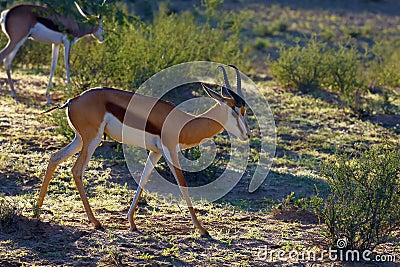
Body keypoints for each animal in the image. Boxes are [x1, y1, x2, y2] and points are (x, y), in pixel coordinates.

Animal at [38, 65, 250, 237]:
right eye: (235, 110)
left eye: (244, 110)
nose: (247, 134)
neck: (185, 123)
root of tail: (73, 100)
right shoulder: (170, 151)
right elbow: (183, 185)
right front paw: (202, 229)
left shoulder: (156, 153)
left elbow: (143, 179)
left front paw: (131, 223)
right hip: (92, 140)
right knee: (77, 170)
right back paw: (96, 222)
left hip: (80, 140)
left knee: (54, 157)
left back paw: (37, 209)